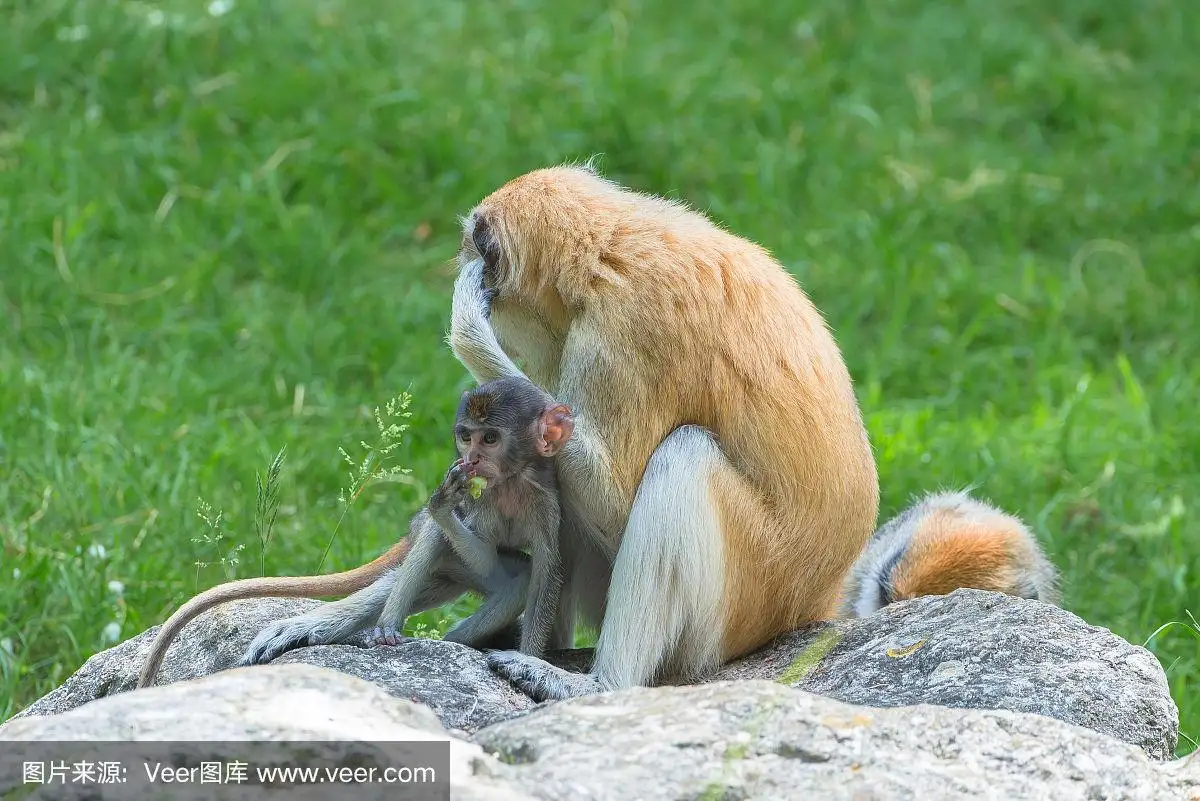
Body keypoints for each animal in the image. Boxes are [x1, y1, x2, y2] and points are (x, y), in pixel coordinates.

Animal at [133, 376, 573, 690]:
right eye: (466, 436)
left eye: (490, 438)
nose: (472, 459)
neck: (510, 482)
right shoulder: (479, 499)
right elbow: (466, 542)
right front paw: (441, 504)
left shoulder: (546, 500)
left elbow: (546, 571)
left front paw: (530, 662)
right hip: (442, 557)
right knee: (436, 545)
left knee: (518, 577)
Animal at [451, 164, 883, 700]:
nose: (461, 259)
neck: (605, 248)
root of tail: (816, 602)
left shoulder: (625, 333)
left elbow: (613, 505)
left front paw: (468, 320)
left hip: (745, 598)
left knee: (684, 456)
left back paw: (599, 685)